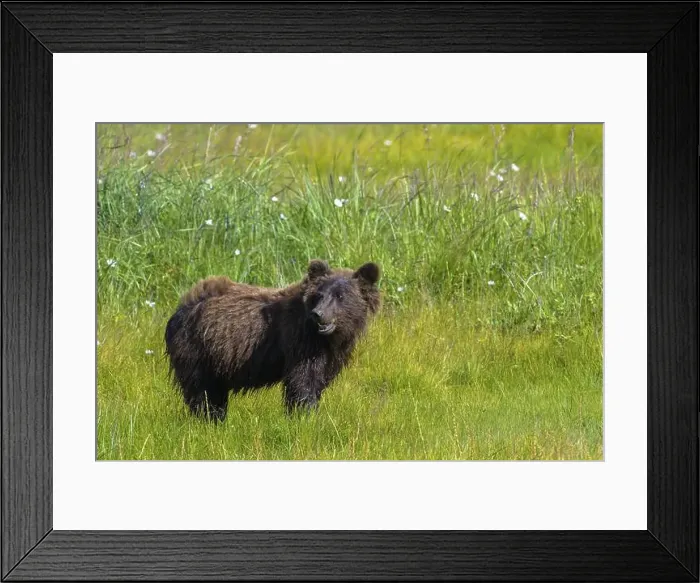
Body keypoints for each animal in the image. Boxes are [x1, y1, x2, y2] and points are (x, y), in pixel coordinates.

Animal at [164, 260, 381, 421]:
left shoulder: (332, 354)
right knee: (202, 391)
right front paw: (304, 415)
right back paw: (208, 419)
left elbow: (320, 379)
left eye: (340, 296)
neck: (331, 338)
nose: (318, 314)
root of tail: (181, 306)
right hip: (198, 349)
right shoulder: (301, 341)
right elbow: (303, 380)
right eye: (319, 295)